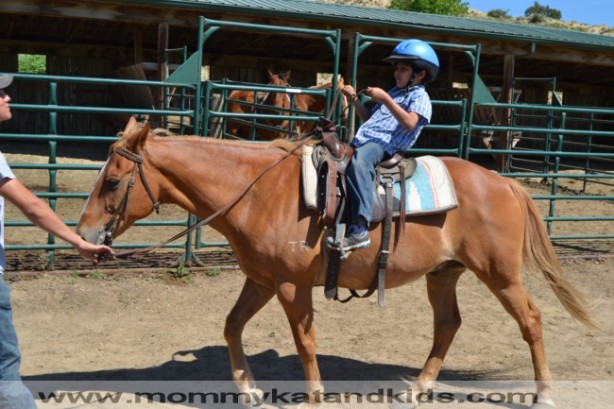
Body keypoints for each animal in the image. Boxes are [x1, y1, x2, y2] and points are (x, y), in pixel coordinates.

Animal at [77, 116, 596, 406]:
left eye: (112, 181)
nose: (84, 235)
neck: (260, 191)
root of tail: (503, 182)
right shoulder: (261, 280)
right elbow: (231, 326)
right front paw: (248, 391)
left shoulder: (291, 286)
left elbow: (305, 343)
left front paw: (313, 399)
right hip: (443, 274)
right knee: (448, 324)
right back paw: (417, 389)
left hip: (500, 273)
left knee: (531, 320)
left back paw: (544, 394)